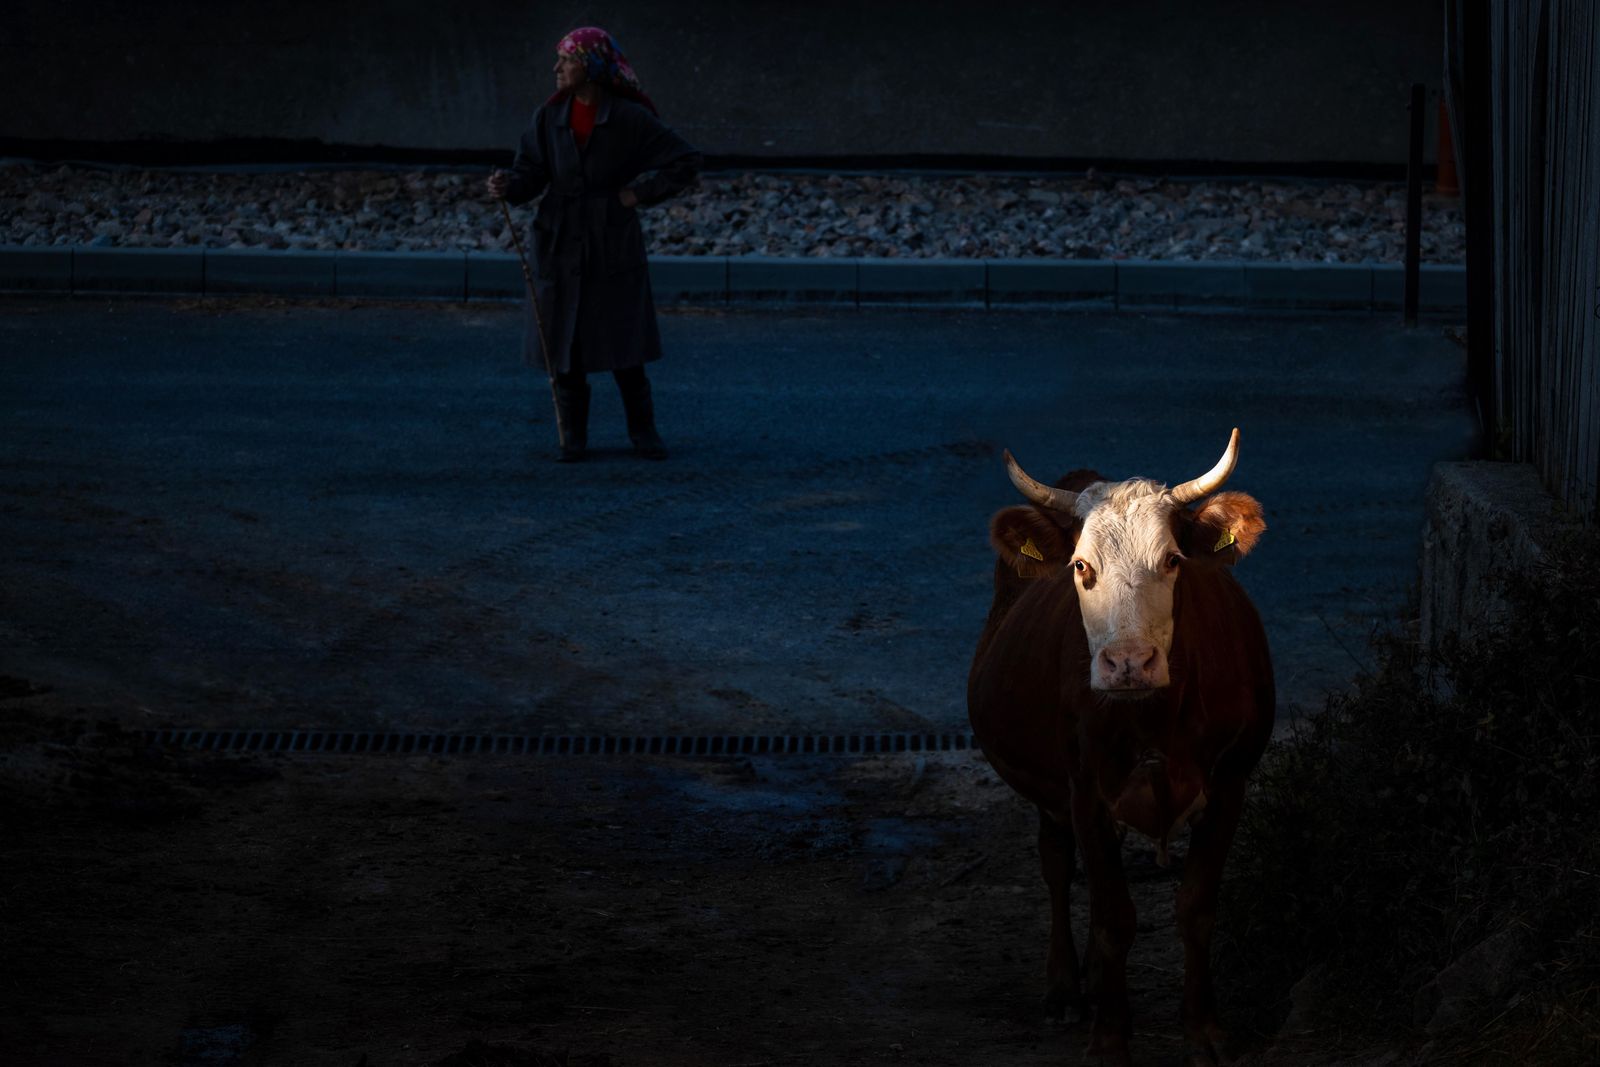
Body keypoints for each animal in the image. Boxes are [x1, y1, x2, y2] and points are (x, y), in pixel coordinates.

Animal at [960, 428, 1273, 1062]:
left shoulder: (1231, 783)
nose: (1128, 663)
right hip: (1051, 792)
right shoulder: (1086, 793)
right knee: (1057, 865)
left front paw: (1204, 1029)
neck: (1156, 718)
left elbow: (1196, 906)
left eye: (1173, 560)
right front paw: (1109, 1036)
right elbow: (1112, 918)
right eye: (1082, 566)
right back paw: (1065, 989)